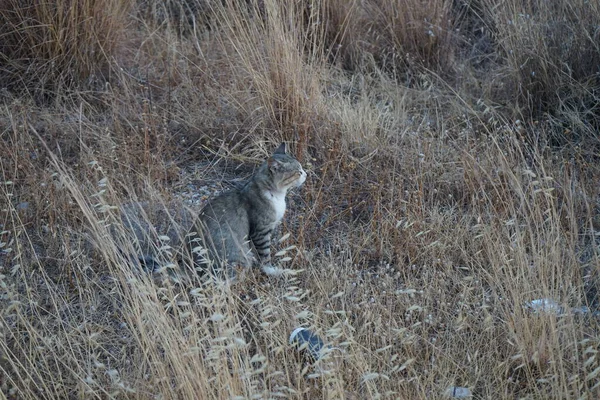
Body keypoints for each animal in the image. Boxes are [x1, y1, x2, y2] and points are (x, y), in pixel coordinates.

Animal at [186, 143, 308, 278]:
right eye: (298, 172)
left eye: (301, 169)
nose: (306, 174)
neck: (276, 195)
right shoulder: (261, 231)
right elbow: (265, 255)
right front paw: (271, 270)